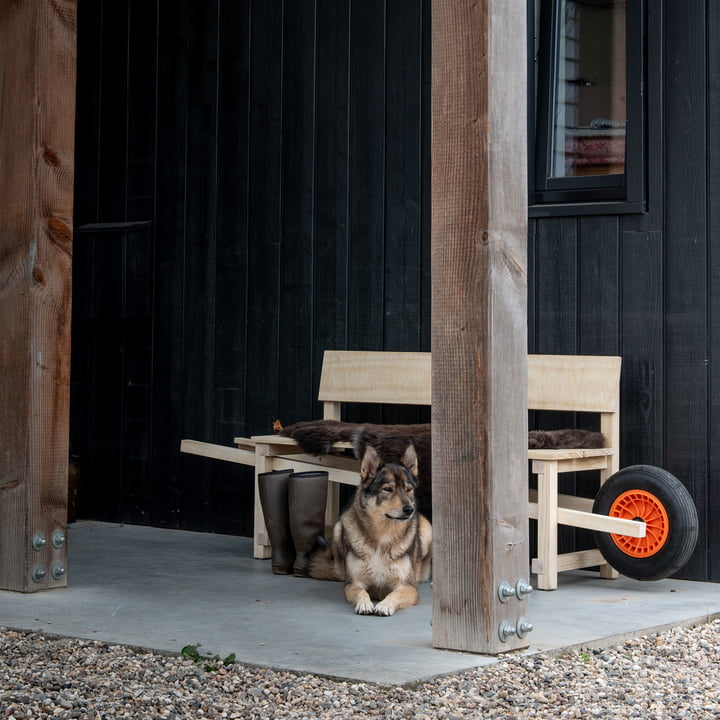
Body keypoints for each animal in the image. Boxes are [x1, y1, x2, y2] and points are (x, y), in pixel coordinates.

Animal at [306, 442, 430, 616]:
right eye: (387, 489)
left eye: (408, 489)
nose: (409, 510)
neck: (382, 535)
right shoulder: (352, 584)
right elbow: (361, 592)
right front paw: (365, 604)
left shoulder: (408, 587)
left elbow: (394, 595)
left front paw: (384, 605)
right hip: (338, 529)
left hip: (426, 530)